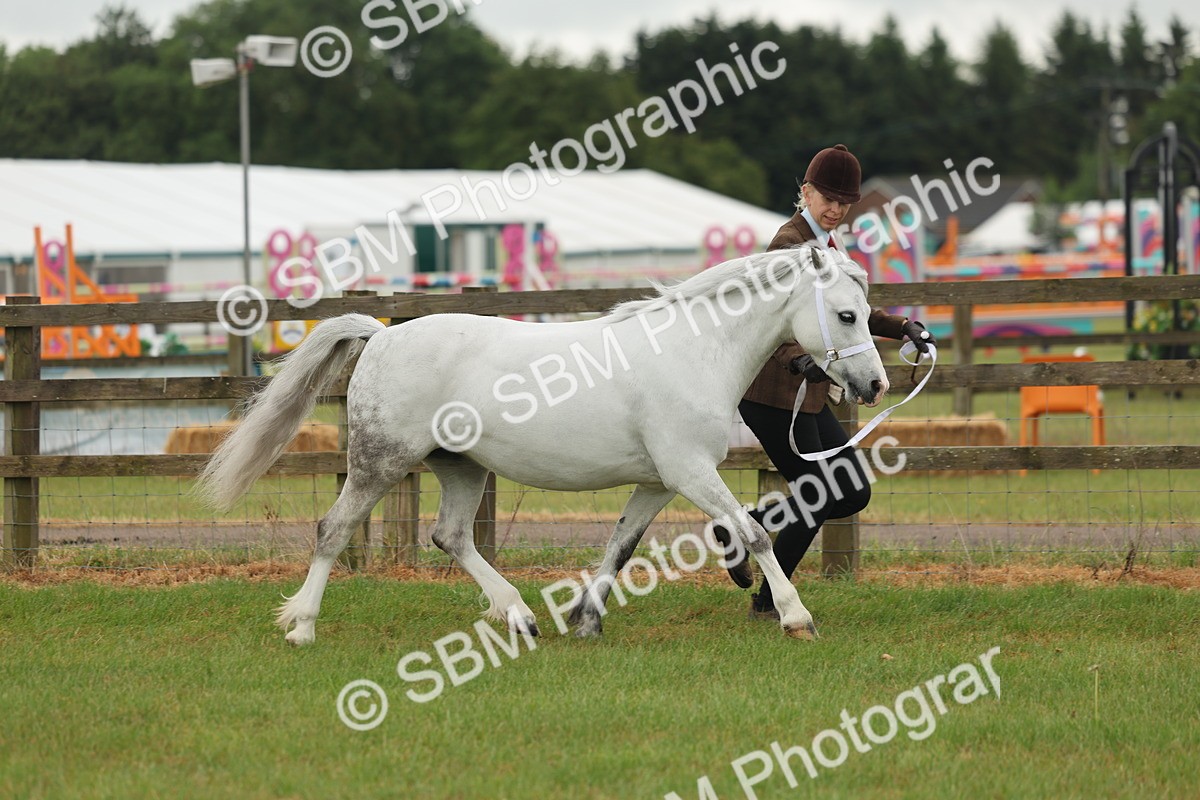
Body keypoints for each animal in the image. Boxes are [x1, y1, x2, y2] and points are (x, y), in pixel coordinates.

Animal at [196, 245, 888, 645]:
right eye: (847, 315)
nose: (876, 384)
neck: (694, 351)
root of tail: (382, 335)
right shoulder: (690, 472)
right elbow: (756, 533)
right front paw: (796, 616)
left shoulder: (657, 482)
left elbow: (620, 546)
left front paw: (586, 619)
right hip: (379, 461)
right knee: (334, 529)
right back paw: (302, 627)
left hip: (461, 468)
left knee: (451, 536)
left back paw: (520, 616)